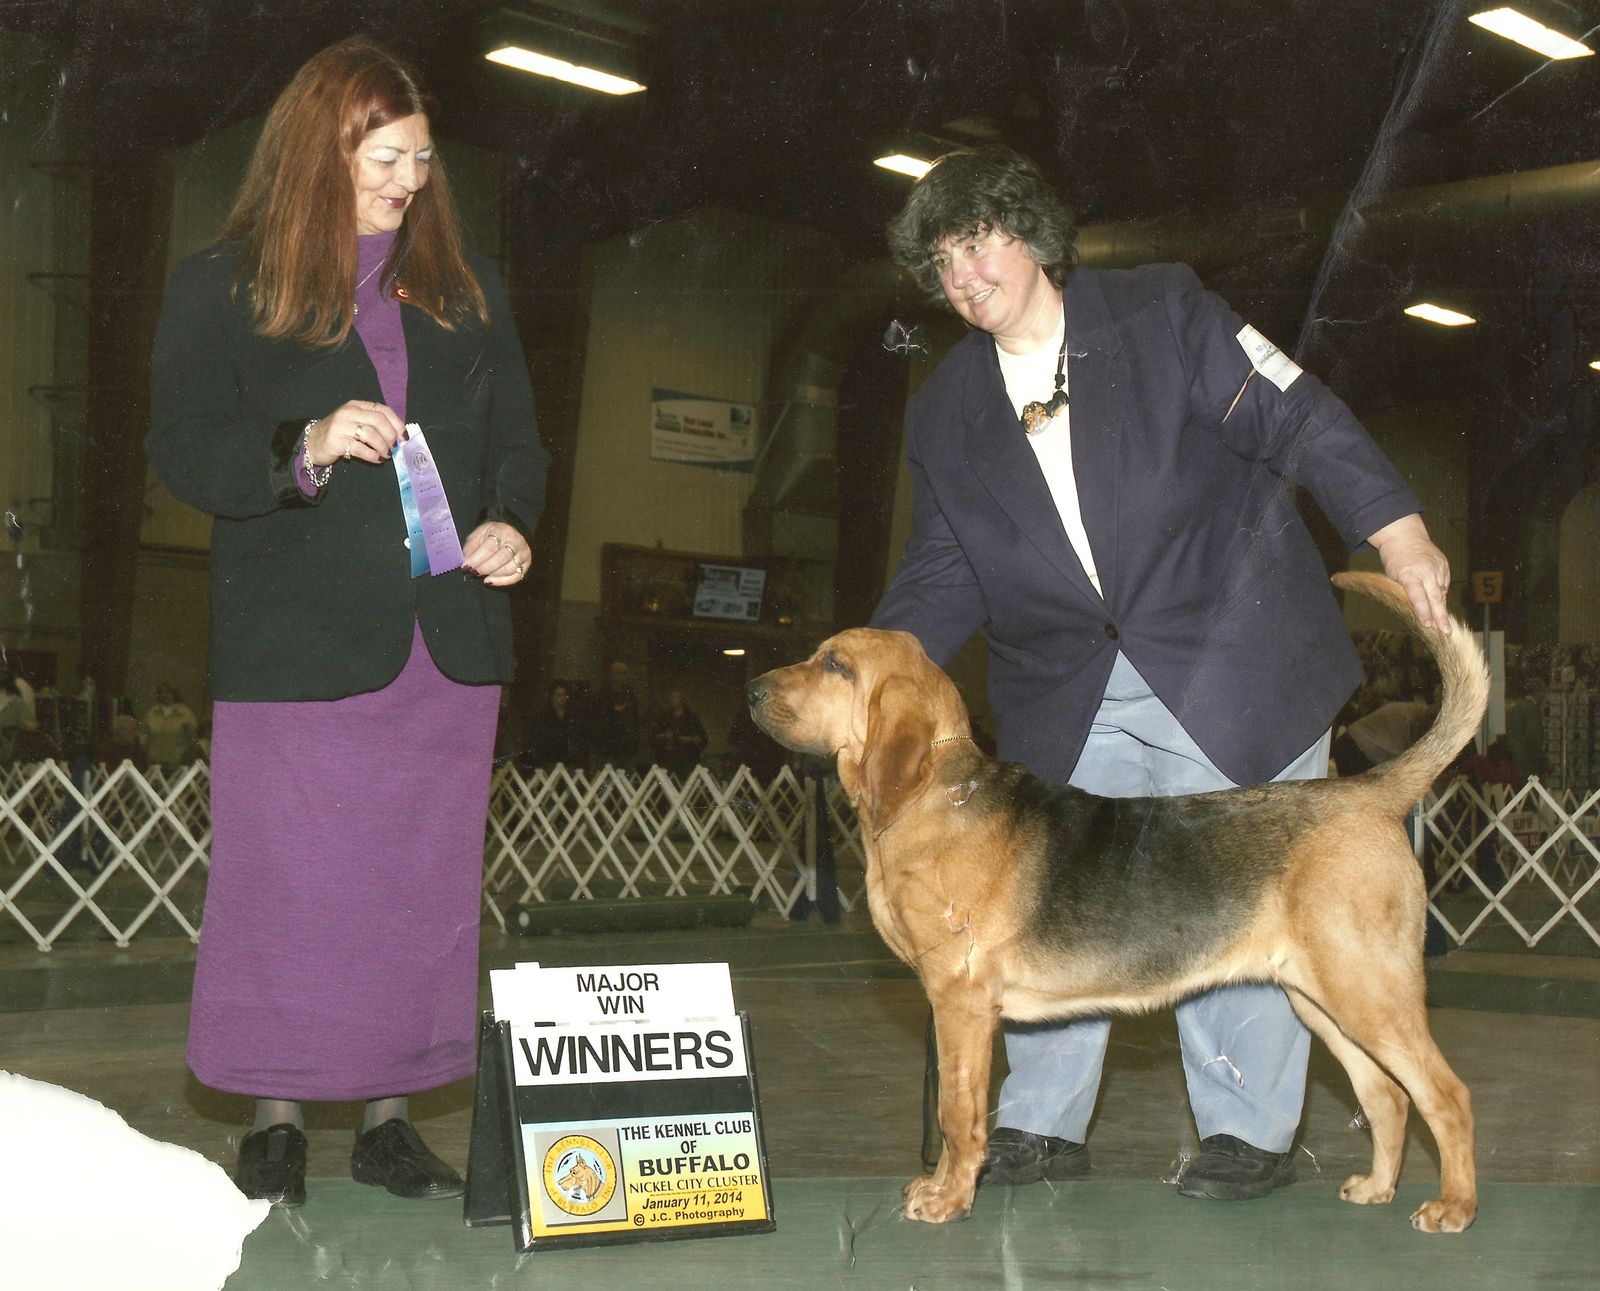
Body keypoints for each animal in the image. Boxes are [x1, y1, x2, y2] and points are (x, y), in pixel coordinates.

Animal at [745, 571, 1486, 1234]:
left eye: (836, 664)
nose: (751, 689)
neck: (938, 795)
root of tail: (1372, 792)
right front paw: (943, 1186)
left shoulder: (960, 1003)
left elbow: (958, 1114)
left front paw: (949, 1198)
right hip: (1322, 999)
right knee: (1388, 1096)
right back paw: (1377, 1187)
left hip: (1369, 992)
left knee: (1446, 1096)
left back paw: (1454, 1208)